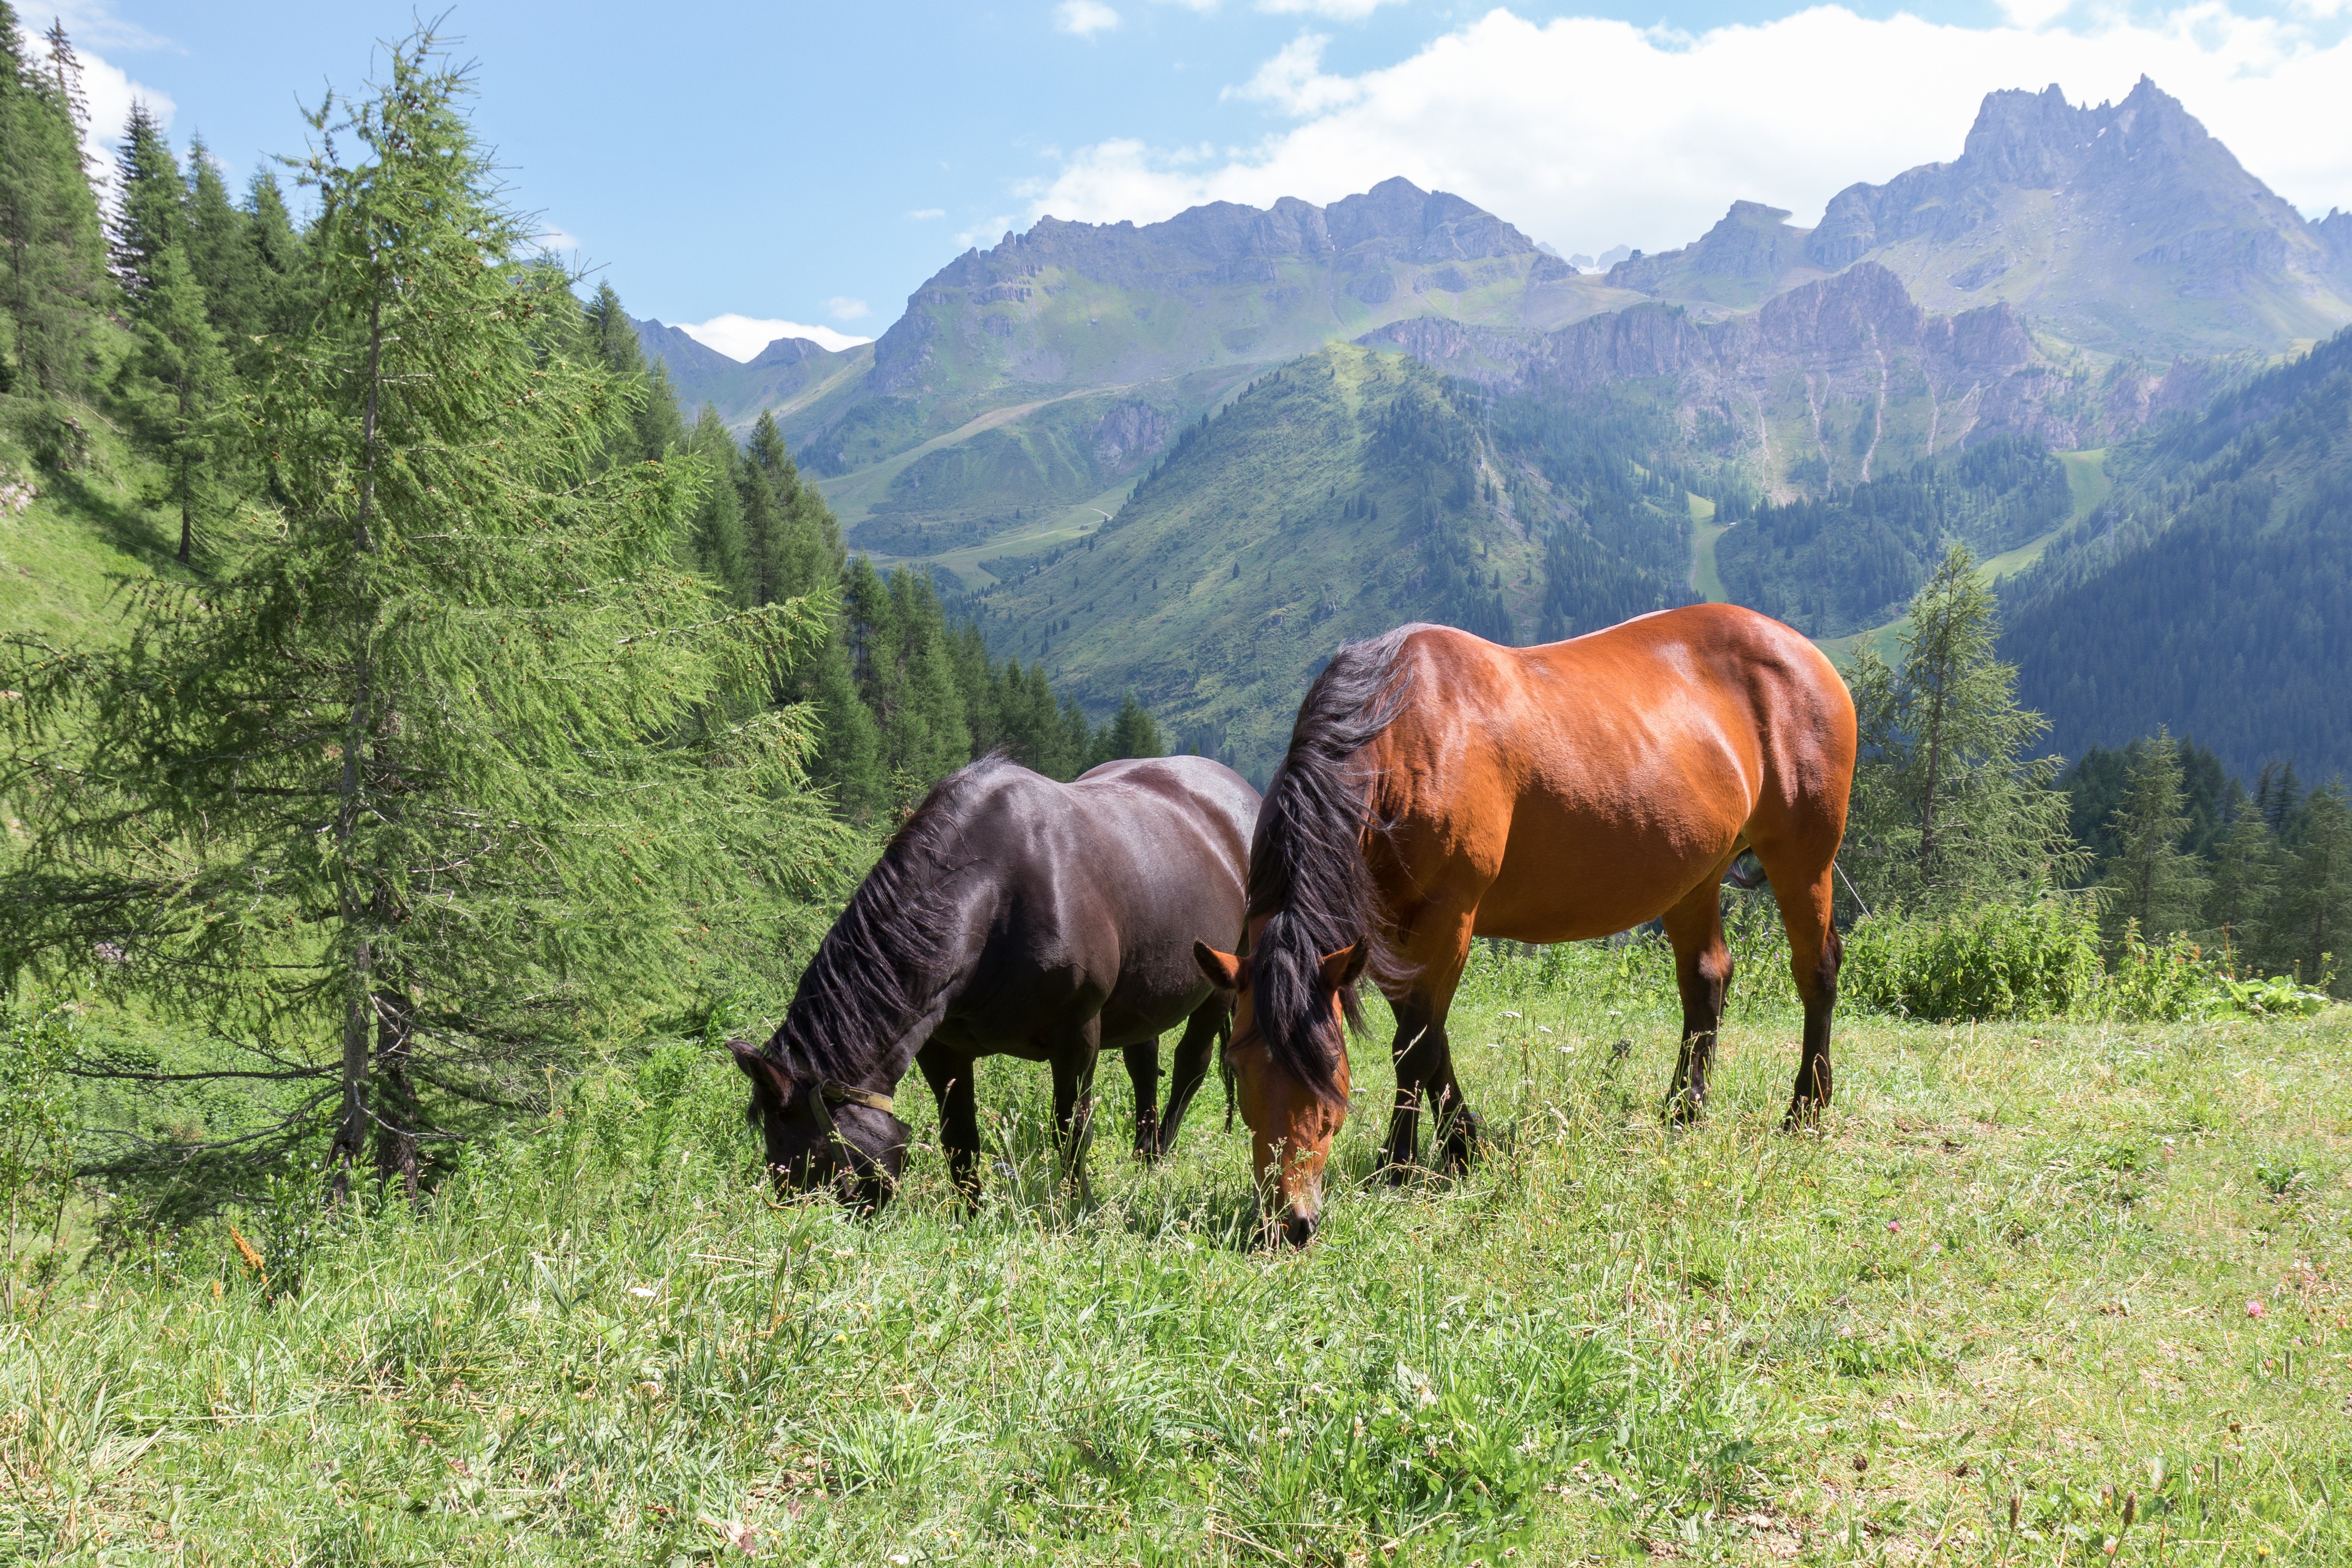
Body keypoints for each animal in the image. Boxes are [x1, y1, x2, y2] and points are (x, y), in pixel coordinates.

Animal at [732, 751, 1259, 1210]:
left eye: (812, 1159)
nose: (811, 1223)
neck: (995, 898)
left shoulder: (1078, 1034)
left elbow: (1071, 1129)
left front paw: (1076, 1209)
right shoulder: (941, 1047)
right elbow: (959, 1136)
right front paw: (969, 1215)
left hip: (1219, 981)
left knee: (1190, 1067)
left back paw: (1159, 1156)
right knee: (1143, 1063)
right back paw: (1144, 1156)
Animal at [1192, 605, 1856, 1246]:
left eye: (1330, 1065)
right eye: (1238, 1070)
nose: (1289, 1222)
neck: (1399, 740)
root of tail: (1805, 653)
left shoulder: (1448, 917)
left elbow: (1415, 1047)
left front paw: (1398, 1165)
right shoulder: (1383, 941)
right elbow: (1433, 1043)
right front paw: (1464, 1146)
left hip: (1803, 860)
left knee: (1816, 971)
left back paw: (1805, 1109)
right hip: (1696, 876)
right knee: (1707, 978)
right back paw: (1684, 1109)